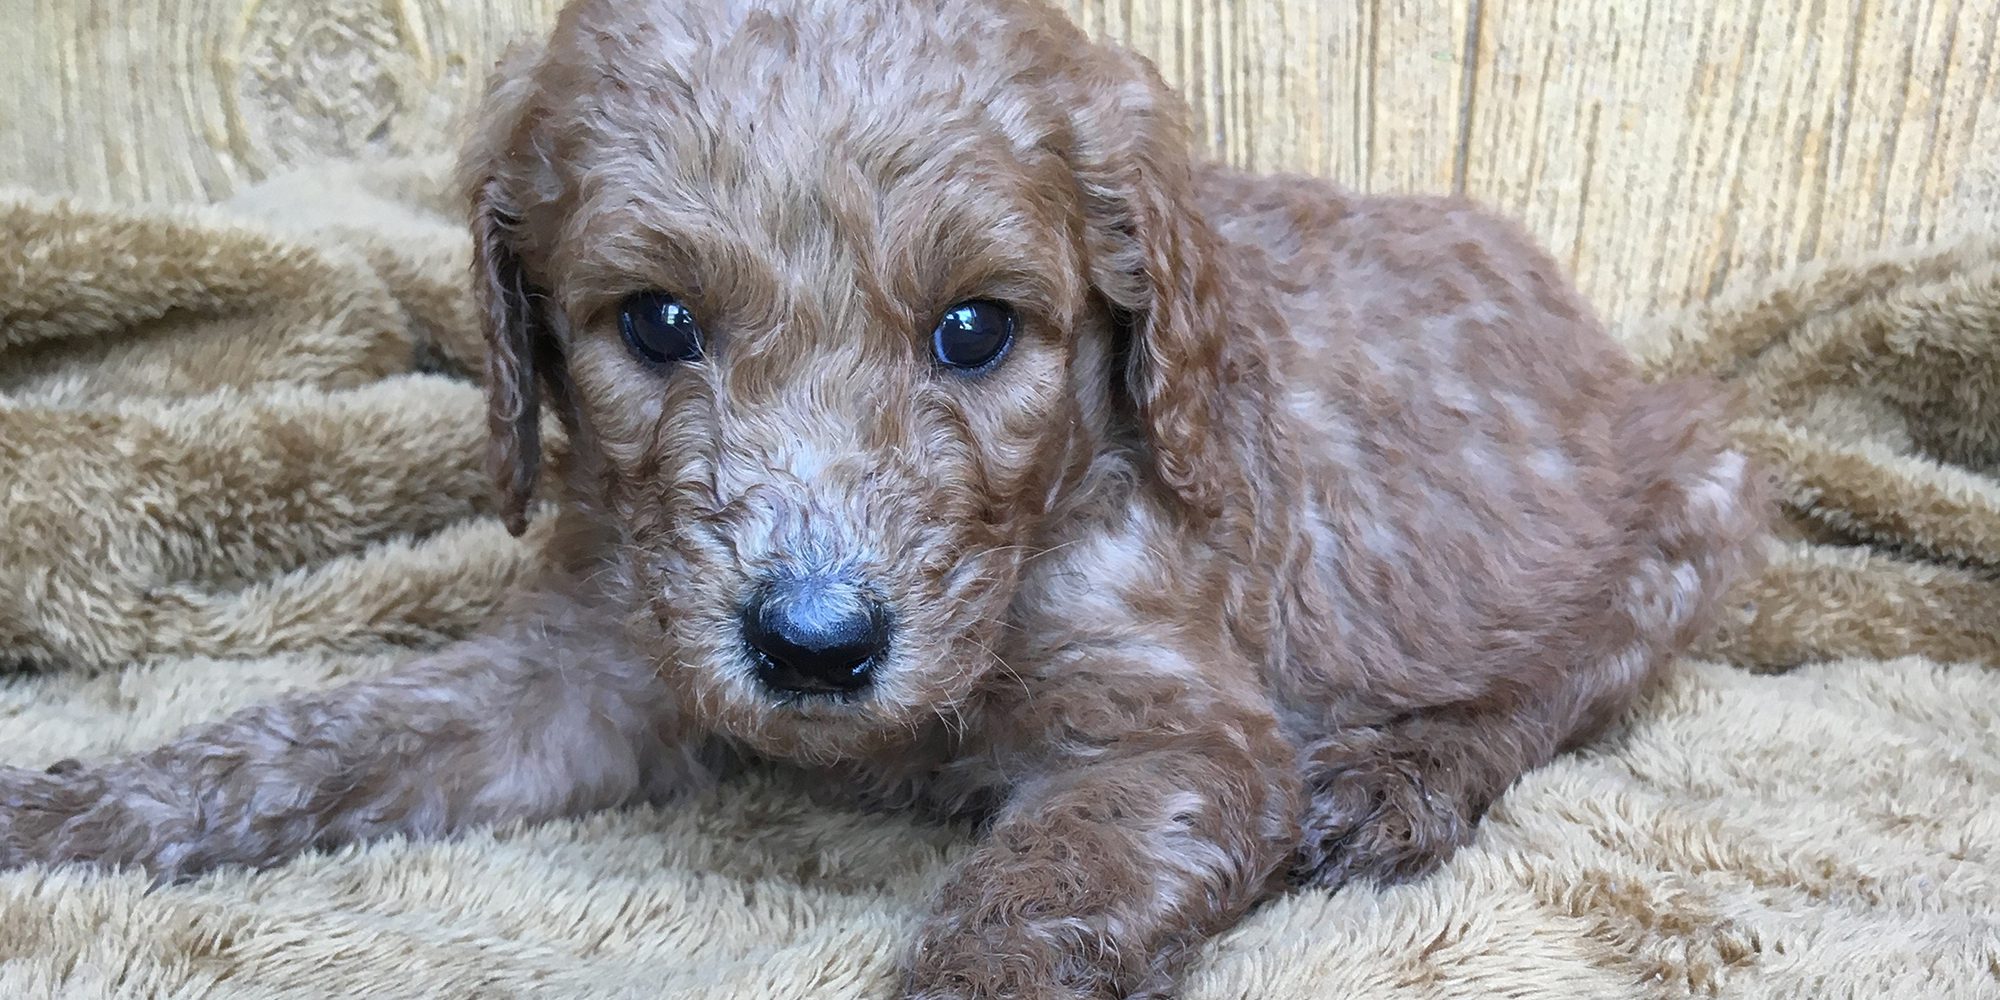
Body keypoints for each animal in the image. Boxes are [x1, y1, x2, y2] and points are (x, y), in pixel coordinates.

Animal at [0, 0, 1768, 995]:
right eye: (655, 323)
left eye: (974, 331)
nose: (815, 645)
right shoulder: (593, 654)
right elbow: (311, 736)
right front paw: (68, 817)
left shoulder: (1178, 732)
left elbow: (1031, 906)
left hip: (1698, 484)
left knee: (1570, 675)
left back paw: (1405, 775)